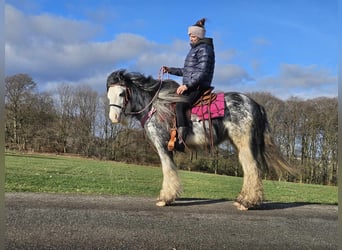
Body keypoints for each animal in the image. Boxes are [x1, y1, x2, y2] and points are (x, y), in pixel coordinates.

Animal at [105, 69, 292, 210]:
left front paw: (165, 198)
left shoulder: (162, 145)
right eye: (108, 95)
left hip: (245, 143)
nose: (114, 118)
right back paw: (242, 199)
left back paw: (247, 202)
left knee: (252, 169)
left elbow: (168, 169)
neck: (155, 106)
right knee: (249, 170)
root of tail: (255, 104)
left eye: (121, 93)